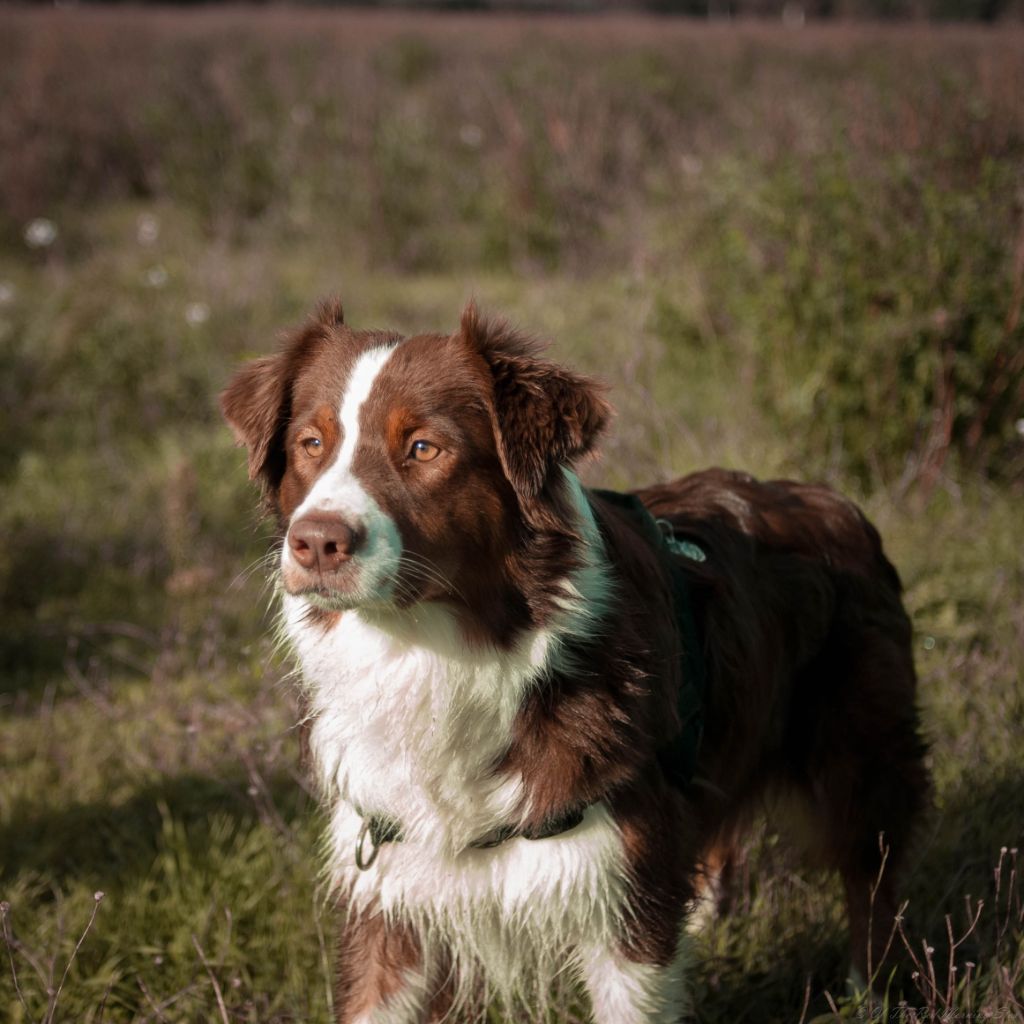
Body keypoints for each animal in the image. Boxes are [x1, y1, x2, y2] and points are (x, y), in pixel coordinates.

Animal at [222, 301, 929, 1024]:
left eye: (423, 448)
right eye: (311, 444)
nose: (315, 543)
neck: (433, 653)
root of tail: (831, 500)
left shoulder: (626, 897)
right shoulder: (388, 889)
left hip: (860, 756)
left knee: (871, 878)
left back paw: (870, 993)